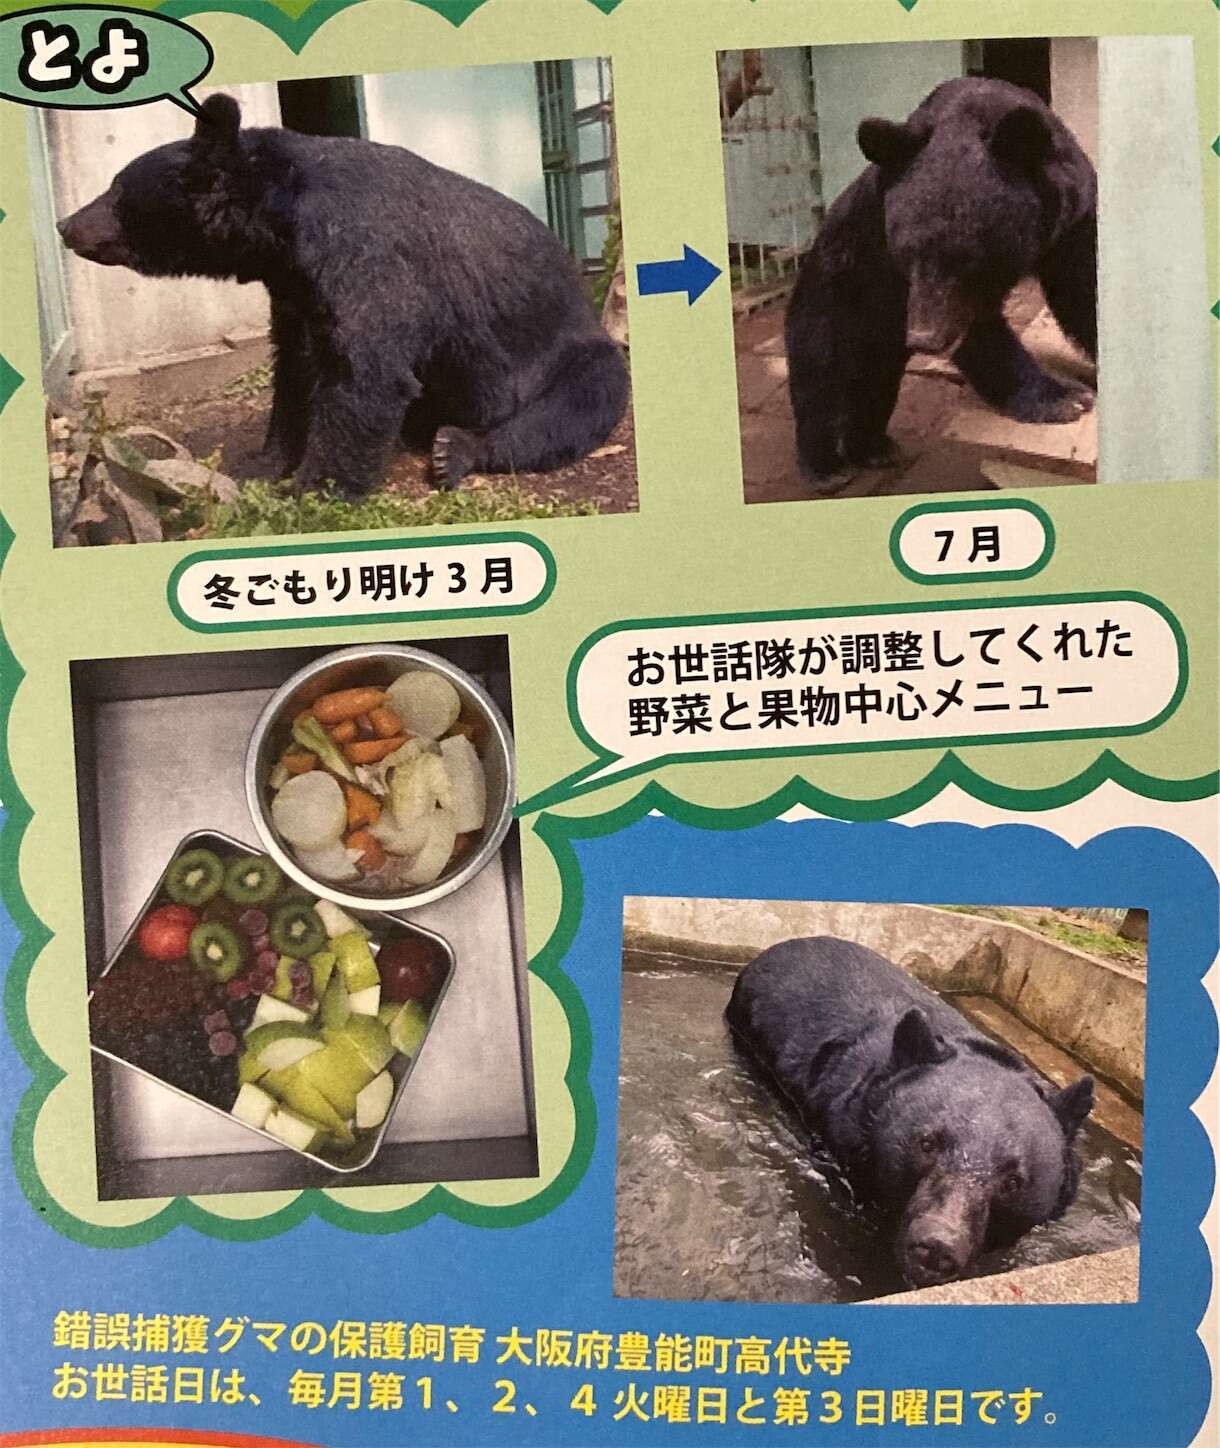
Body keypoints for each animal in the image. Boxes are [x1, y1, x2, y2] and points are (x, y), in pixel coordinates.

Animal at [57, 93, 629, 497]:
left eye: (115, 189)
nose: (65, 225)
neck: (280, 228)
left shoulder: (363, 252)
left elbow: (366, 373)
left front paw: (312, 491)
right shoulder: (294, 288)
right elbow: (296, 366)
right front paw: (264, 463)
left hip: (570, 354)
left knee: (570, 409)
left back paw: (455, 449)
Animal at [783, 77, 1097, 486]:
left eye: (972, 259)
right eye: (906, 253)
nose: (924, 338)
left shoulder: (1073, 219)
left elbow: (1082, 289)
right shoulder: (888, 259)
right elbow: (982, 334)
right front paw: (1065, 398)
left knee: (875, 381)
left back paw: (873, 448)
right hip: (837, 292)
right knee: (821, 374)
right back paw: (826, 468)